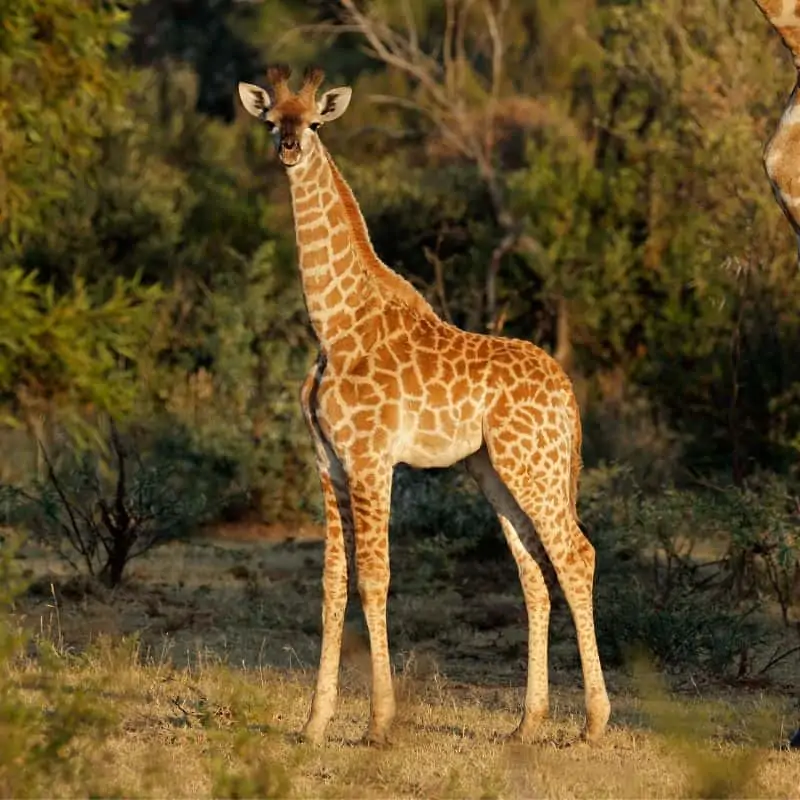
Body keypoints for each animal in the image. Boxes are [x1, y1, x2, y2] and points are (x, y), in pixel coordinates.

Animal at [241, 65, 608, 748]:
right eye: (272, 119)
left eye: (316, 121)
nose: (290, 148)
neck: (333, 326)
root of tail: (568, 392)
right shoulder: (328, 463)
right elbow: (332, 582)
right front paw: (314, 723)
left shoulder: (371, 459)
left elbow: (374, 576)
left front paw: (379, 723)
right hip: (495, 471)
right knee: (533, 574)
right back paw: (526, 724)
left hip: (534, 467)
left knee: (576, 555)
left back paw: (594, 723)